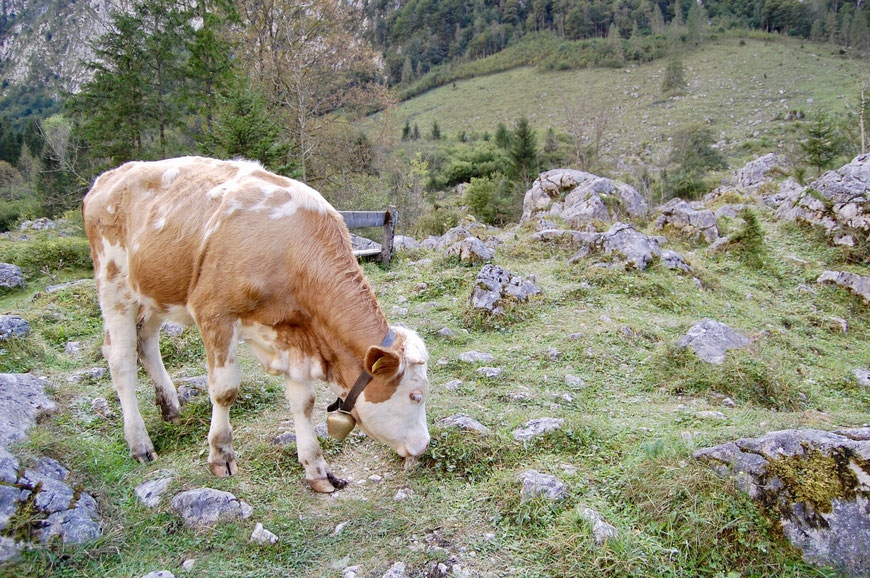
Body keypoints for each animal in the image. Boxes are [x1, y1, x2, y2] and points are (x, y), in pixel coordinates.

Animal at [83, 155, 430, 488]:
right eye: (415, 395)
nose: (424, 445)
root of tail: (111, 175)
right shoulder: (214, 312)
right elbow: (224, 390)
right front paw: (221, 455)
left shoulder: (294, 337)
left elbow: (304, 402)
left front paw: (316, 470)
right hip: (113, 283)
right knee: (121, 359)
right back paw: (139, 443)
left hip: (155, 290)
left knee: (146, 339)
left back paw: (170, 408)